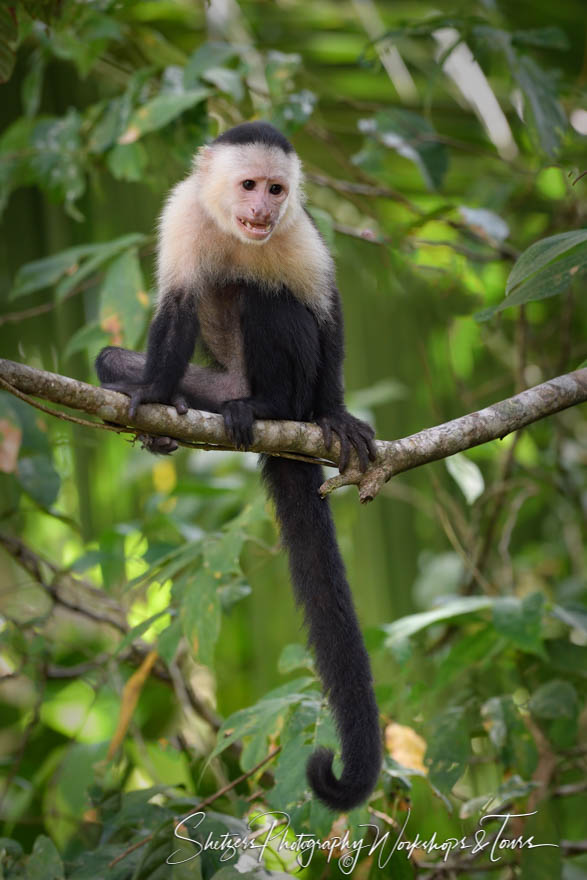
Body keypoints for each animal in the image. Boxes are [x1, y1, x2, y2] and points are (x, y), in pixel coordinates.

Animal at [96, 122, 382, 812]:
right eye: (248, 184)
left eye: (277, 189)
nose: (263, 210)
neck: (235, 232)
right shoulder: (181, 214)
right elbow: (175, 309)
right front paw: (151, 396)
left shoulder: (300, 228)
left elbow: (326, 312)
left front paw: (337, 415)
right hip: (216, 383)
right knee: (115, 359)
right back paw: (165, 407)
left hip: (279, 384)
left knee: (267, 300)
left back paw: (273, 407)